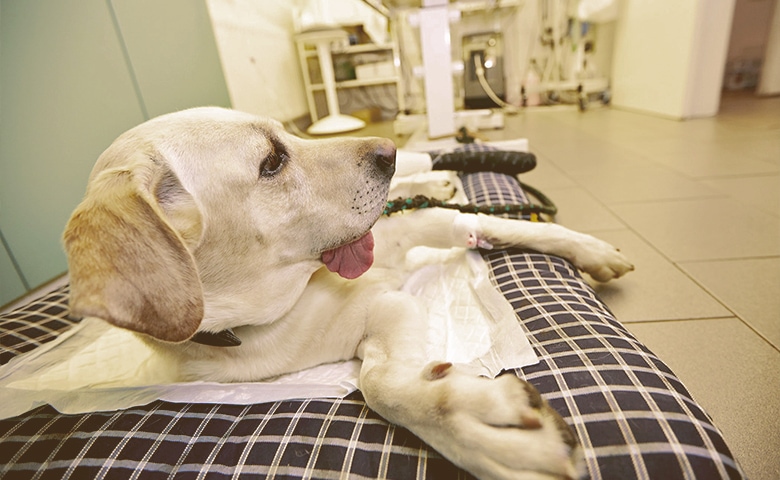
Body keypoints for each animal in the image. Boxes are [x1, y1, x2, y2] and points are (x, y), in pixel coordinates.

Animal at [64, 108, 632, 480]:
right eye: (271, 161)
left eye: (284, 133)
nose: (386, 152)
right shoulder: (385, 309)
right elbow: (380, 384)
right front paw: (468, 420)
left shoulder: (421, 225)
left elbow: (505, 225)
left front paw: (589, 249)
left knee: (429, 164)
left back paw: (447, 171)